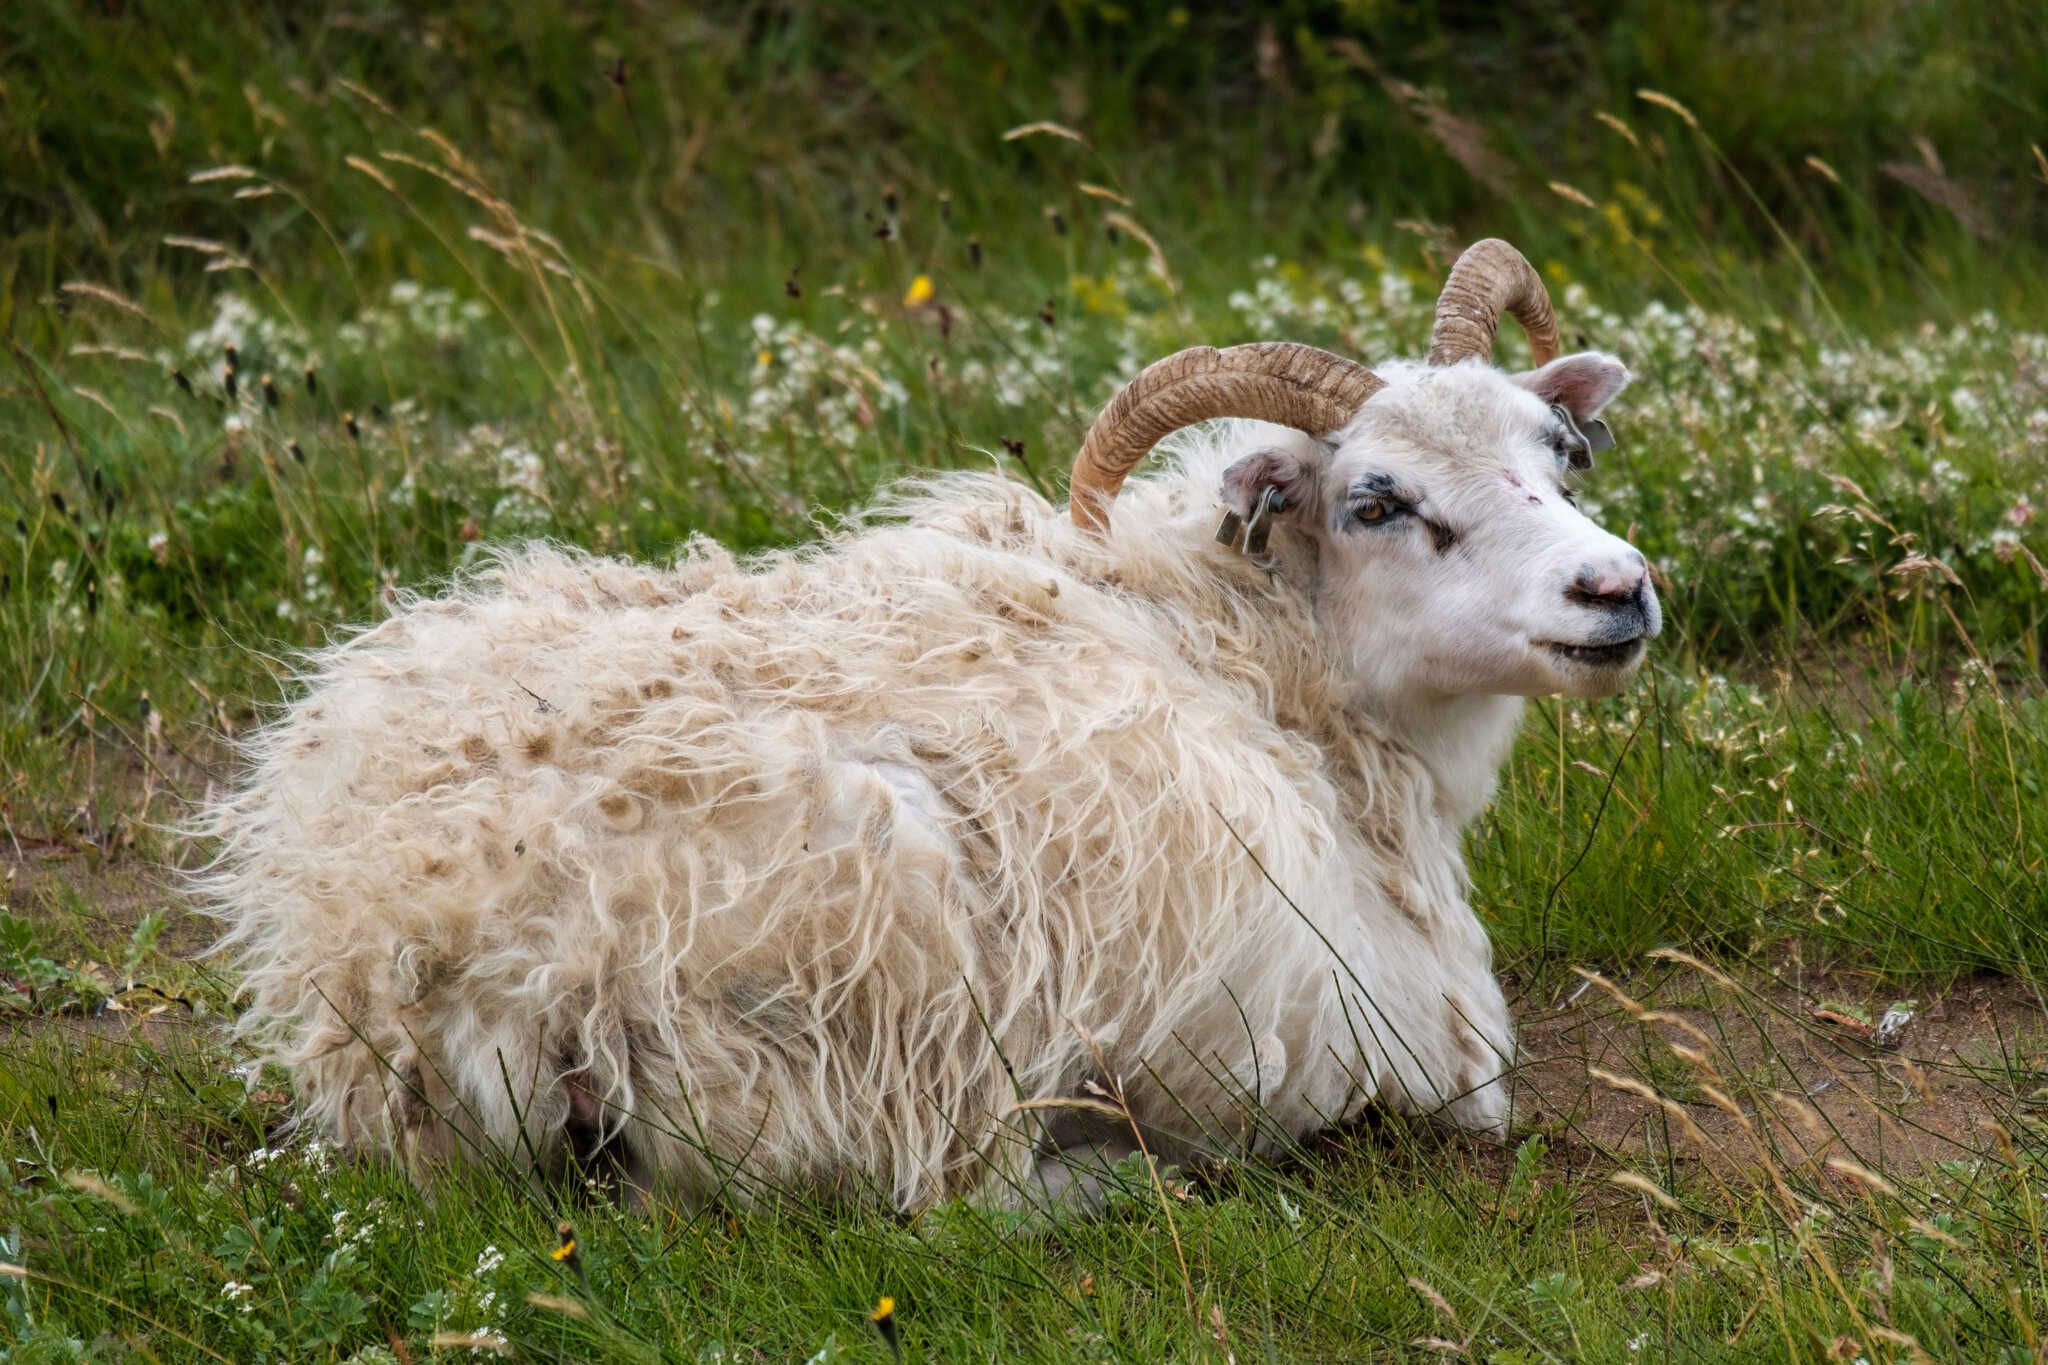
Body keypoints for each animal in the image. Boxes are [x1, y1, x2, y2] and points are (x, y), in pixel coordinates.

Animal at [195, 240, 1662, 1211]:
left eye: (1556, 453)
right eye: (1376, 501)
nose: (1617, 588)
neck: (1252, 649)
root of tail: (454, 951)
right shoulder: (1396, 1030)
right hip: (904, 1004)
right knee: (952, 1201)